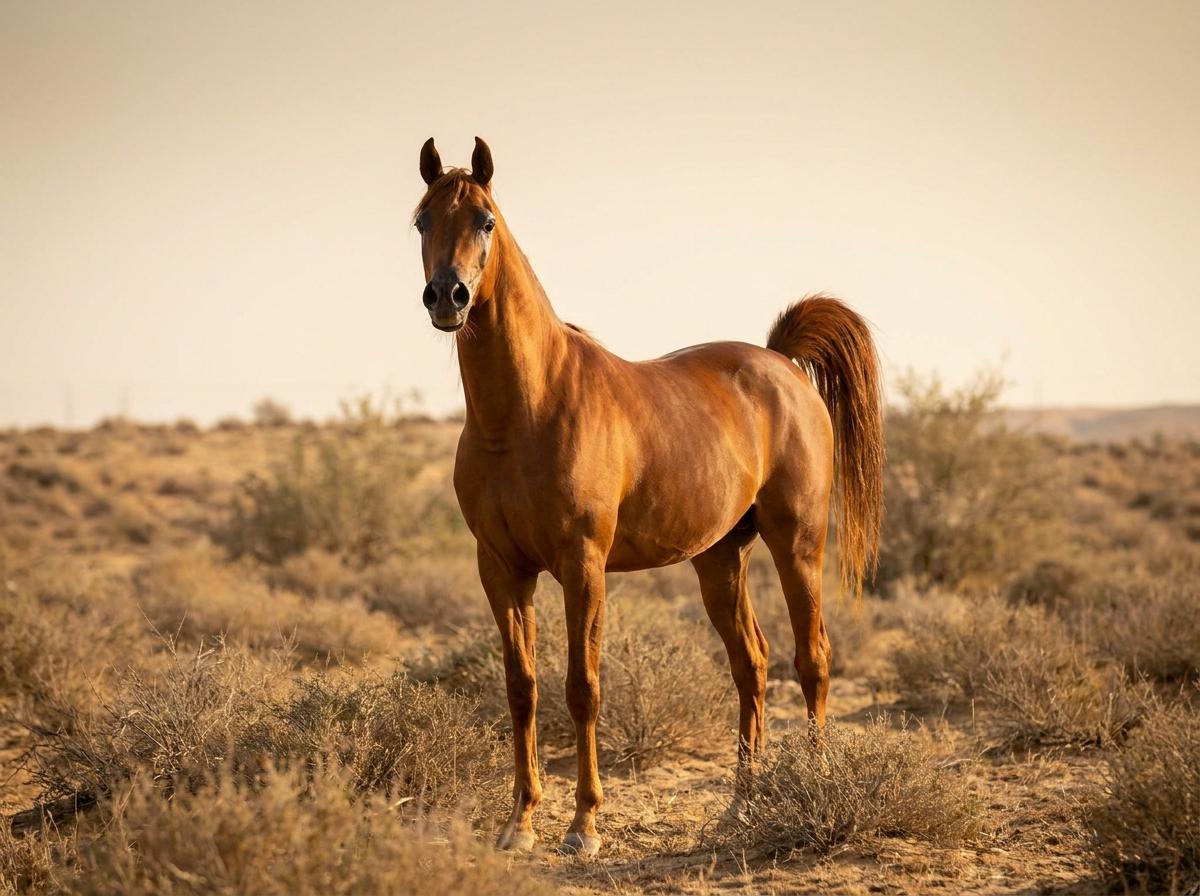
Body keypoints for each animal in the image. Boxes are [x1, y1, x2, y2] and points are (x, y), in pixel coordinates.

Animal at [412, 137, 885, 857]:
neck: (524, 412)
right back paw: (739, 807)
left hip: (797, 544)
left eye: (486, 221)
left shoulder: (583, 567)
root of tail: (781, 365)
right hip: (720, 558)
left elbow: (582, 688)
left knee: (813, 660)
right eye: (420, 221)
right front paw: (520, 823)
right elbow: (521, 688)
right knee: (752, 665)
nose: (448, 296)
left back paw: (816, 783)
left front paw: (583, 826)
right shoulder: (501, 568)